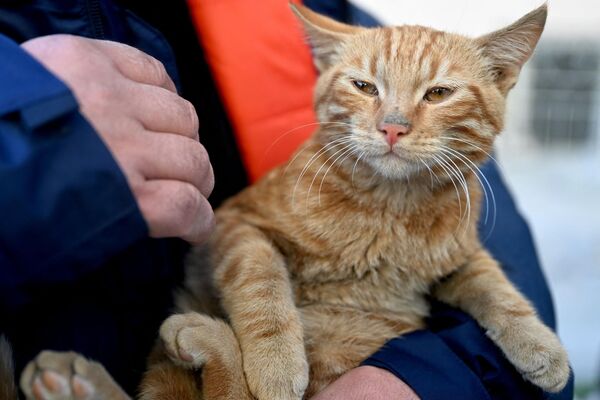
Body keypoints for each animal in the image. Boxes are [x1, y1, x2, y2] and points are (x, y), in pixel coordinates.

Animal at [21, 3, 568, 400]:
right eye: (364, 86)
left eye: (438, 94)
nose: (392, 126)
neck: (387, 208)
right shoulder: (235, 224)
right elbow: (262, 281)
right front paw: (276, 364)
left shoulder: (458, 254)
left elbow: (495, 285)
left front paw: (542, 346)